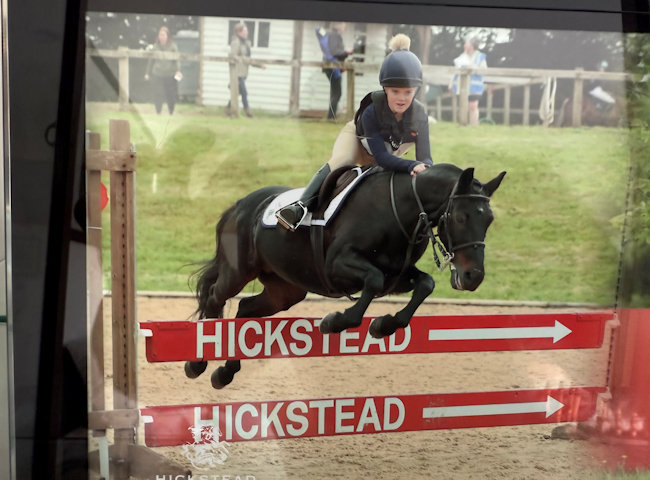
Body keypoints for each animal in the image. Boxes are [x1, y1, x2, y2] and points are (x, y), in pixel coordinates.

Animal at [185, 163, 506, 389]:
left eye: (489, 219)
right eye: (461, 217)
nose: (473, 276)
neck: (402, 210)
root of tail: (238, 205)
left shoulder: (396, 276)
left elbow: (424, 284)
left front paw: (384, 325)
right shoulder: (338, 266)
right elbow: (371, 283)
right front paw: (334, 322)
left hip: (285, 290)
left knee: (245, 309)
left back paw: (225, 372)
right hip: (237, 272)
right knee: (215, 298)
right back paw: (197, 363)